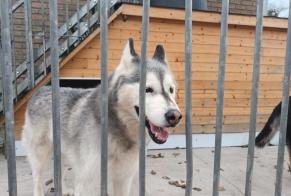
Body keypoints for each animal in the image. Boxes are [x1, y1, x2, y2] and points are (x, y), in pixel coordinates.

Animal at [22, 38, 182, 196]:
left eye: (171, 89)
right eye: (148, 89)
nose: (175, 116)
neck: (117, 131)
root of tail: (41, 89)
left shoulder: (123, 179)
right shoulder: (88, 183)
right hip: (40, 155)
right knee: (37, 179)